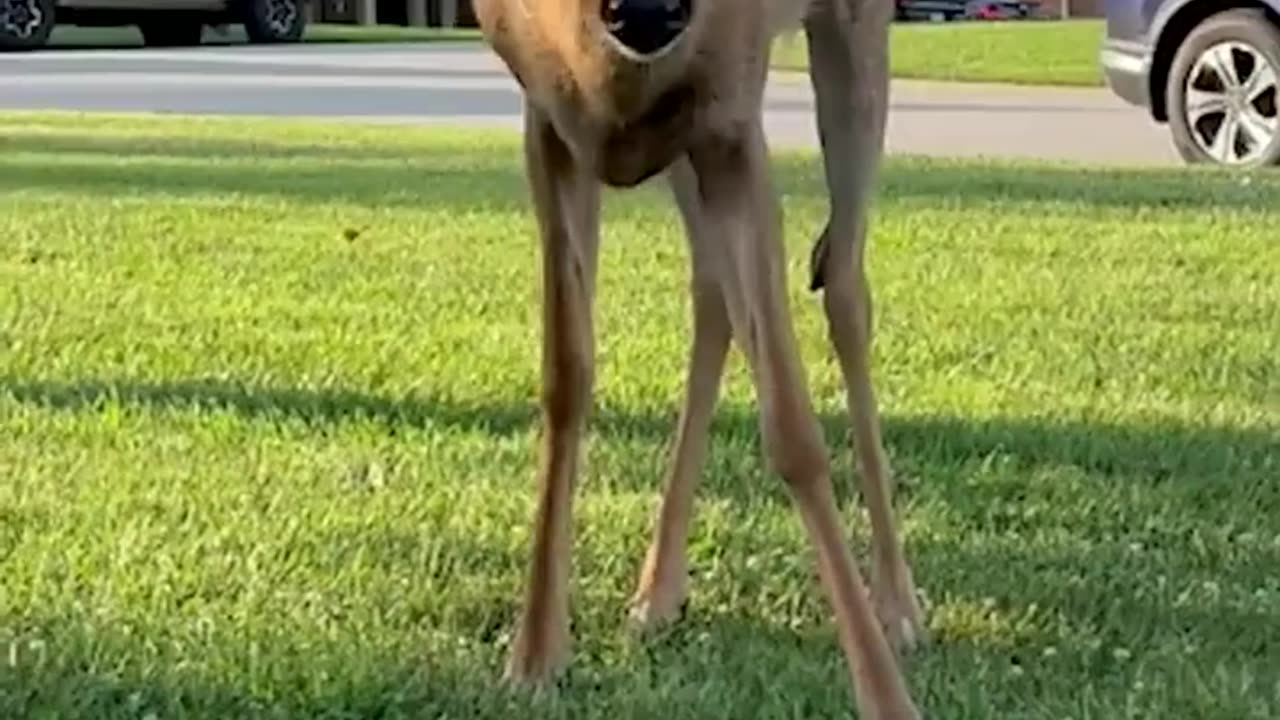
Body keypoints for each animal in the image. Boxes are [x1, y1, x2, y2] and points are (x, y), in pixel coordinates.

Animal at [465, 0, 926, 712]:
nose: (647, 11)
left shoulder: (730, 118)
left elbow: (793, 429)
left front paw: (887, 699)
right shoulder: (549, 119)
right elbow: (566, 375)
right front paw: (535, 655)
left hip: (852, 35)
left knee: (846, 289)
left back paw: (898, 604)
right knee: (713, 293)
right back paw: (658, 591)